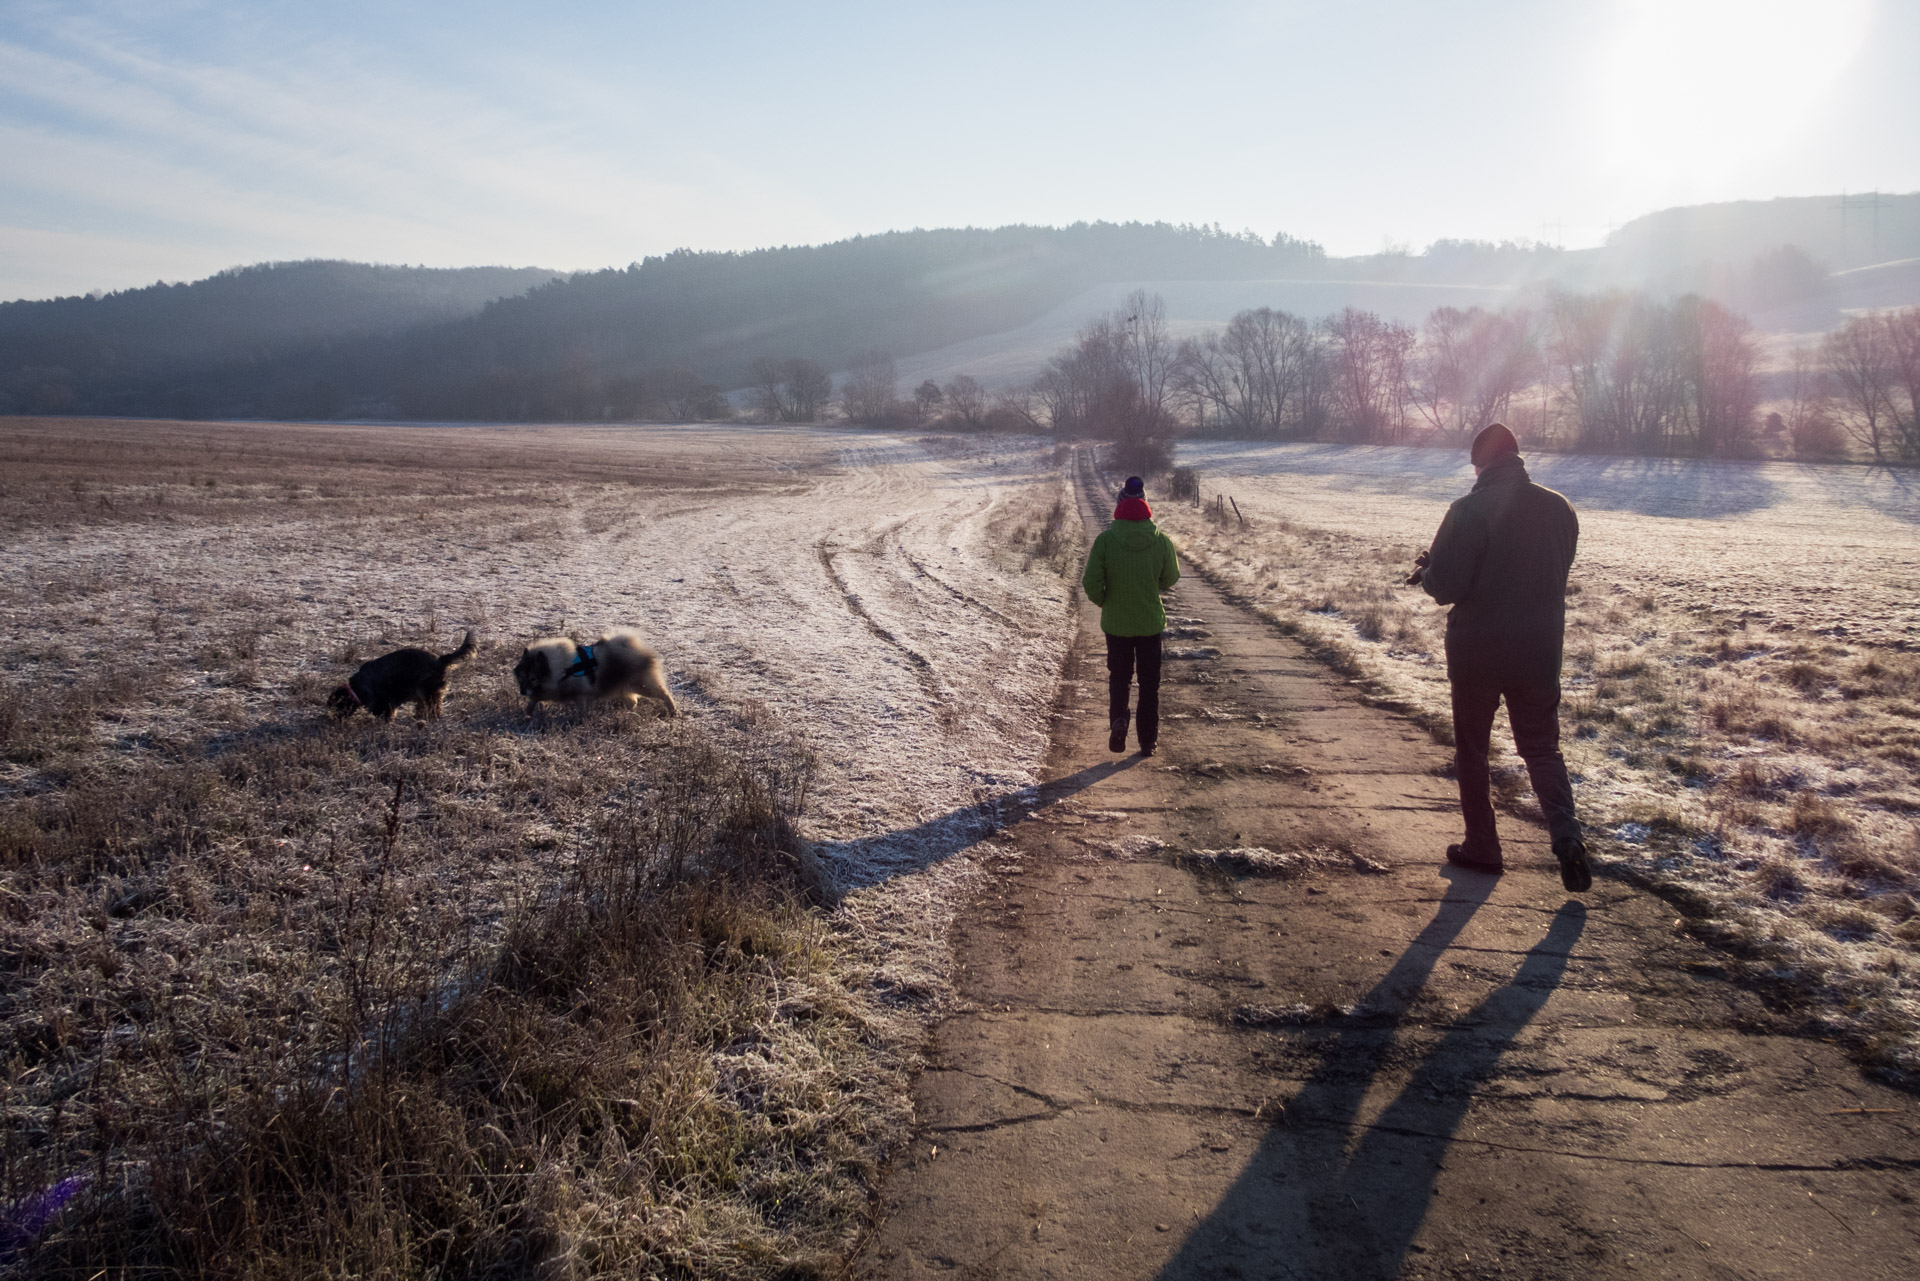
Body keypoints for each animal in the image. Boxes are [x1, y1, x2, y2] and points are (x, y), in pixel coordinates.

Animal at [326, 629, 476, 722]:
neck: (356, 688)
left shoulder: (382, 700)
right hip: (422, 691)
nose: (334, 720)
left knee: (433, 706)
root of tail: (439, 660)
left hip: (426, 689)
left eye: (336, 706)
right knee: (424, 705)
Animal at [514, 629, 679, 722]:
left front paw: (580, 721)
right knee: (633, 702)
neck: (562, 669)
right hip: (623, 688)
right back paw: (627, 714)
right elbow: (534, 700)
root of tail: (637, 648)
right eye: (521, 677)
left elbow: (581, 711)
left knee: (664, 694)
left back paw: (673, 710)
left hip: (642, 686)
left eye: (533, 678)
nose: (522, 691)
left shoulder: (581, 695)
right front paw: (527, 714)